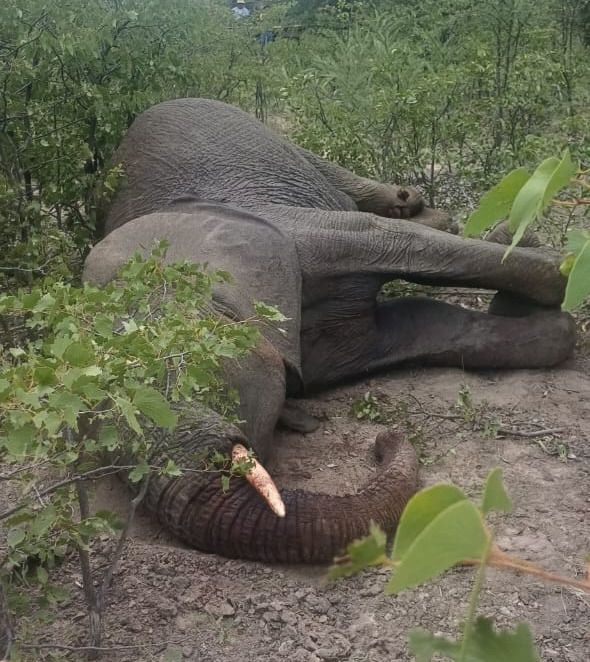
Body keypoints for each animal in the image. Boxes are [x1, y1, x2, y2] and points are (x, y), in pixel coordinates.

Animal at [84, 98, 576, 564]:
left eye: (195, 372)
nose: (383, 439)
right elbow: (424, 325)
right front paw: (546, 320)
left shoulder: (290, 231)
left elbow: (398, 242)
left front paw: (553, 269)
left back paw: (426, 207)